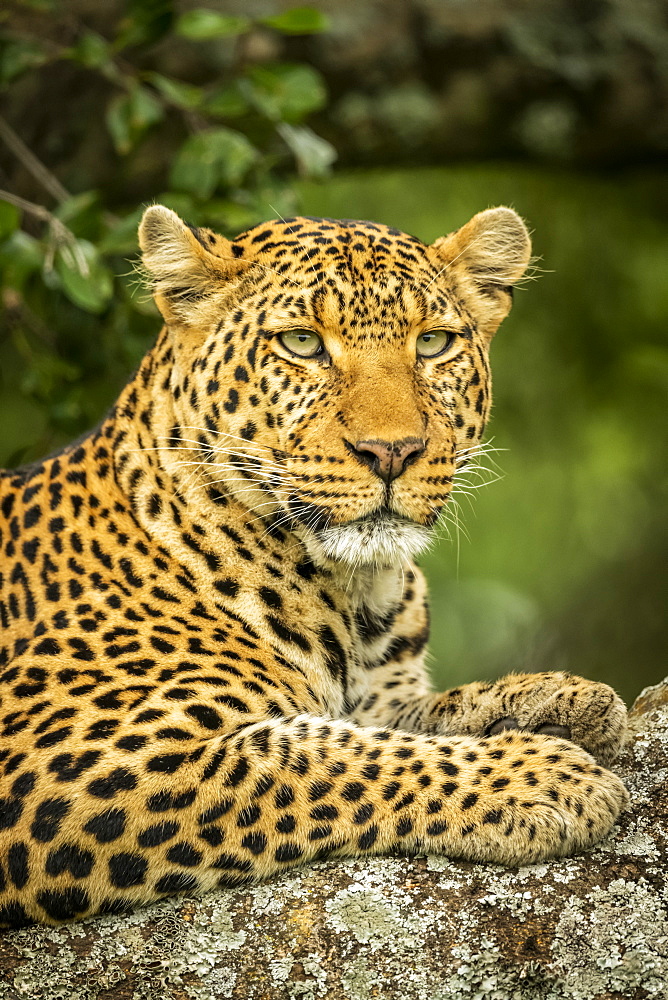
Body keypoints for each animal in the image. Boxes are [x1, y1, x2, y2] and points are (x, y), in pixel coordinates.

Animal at [0, 205, 628, 928]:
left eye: (433, 343)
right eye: (301, 343)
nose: (392, 451)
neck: (355, 591)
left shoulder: (379, 691)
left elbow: (407, 717)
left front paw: (562, 698)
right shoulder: (69, 763)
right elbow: (319, 754)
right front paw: (539, 777)